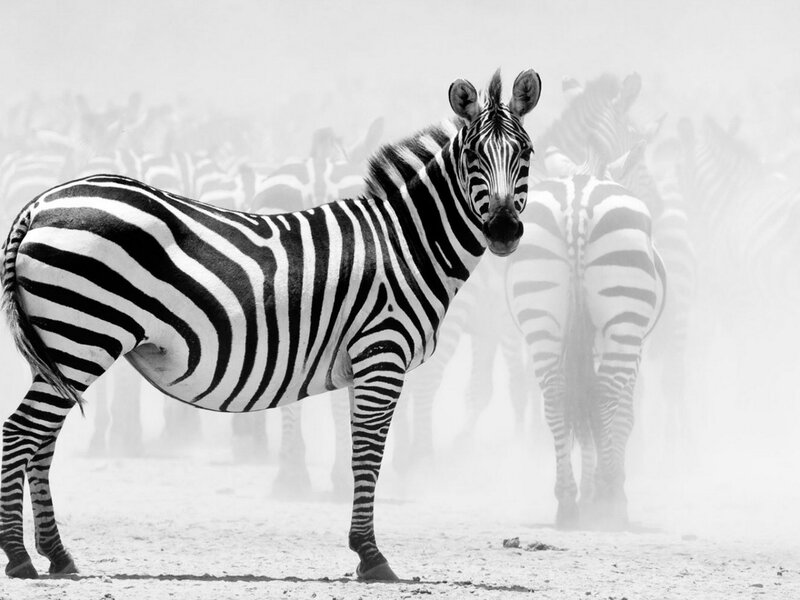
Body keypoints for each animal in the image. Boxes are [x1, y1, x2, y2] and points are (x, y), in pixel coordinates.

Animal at [0, 69, 541, 580]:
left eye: (527, 153)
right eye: (472, 156)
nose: (503, 231)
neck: (405, 242)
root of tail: (40, 204)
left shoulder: (362, 364)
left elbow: (356, 450)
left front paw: (361, 548)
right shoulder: (382, 354)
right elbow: (368, 455)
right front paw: (370, 556)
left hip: (60, 347)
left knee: (41, 441)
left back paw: (57, 555)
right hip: (82, 336)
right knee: (20, 433)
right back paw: (19, 556)